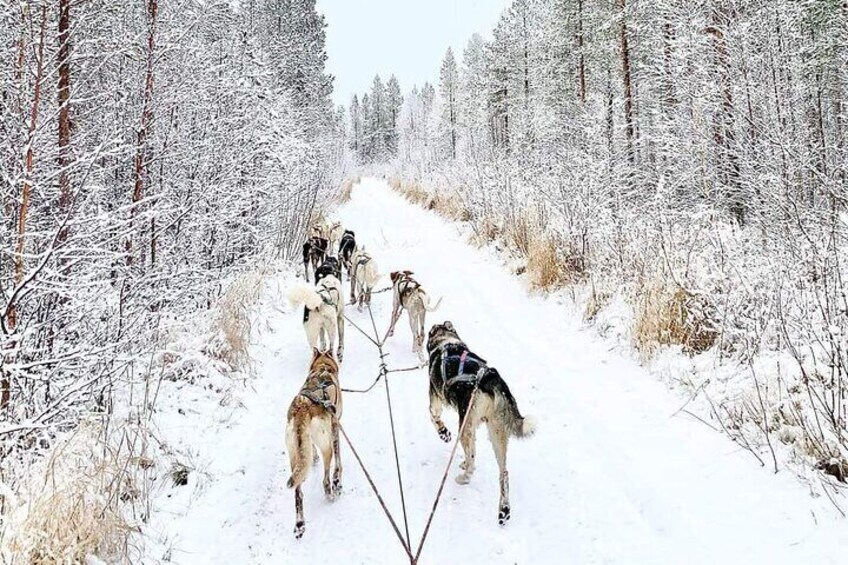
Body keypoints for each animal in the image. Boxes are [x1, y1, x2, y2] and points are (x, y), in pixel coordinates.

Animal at [286, 348, 342, 536]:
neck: (322, 367)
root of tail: (301, 407)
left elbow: (312, 450)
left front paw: (315, 459)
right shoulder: (335, 427)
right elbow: (338, 461)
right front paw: (338, 479)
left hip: (294, 457)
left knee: (298, 493)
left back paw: (300, 523)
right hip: (326, 447)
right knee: (325, 479)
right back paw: (332, 493)